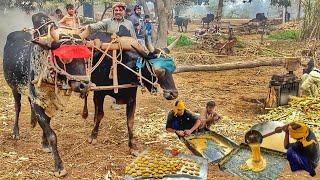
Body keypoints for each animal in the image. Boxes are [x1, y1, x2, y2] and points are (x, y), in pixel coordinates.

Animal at [3, 13, 89, 177]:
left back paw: (32, 122)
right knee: (17, 107)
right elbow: (52, 135)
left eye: (86, 57)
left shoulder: (48, 102)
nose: (84, 85)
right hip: (15, 88)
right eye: (64, 57)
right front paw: (59, 166)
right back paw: (16, 132)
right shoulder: (38, 102)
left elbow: (47, 124)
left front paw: (44, 143)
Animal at [81, 27, 179, 155]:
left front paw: (132, 145)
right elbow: (100, 115)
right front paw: (93, 135)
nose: (173, 94)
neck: (122, 68)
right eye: (157, 70)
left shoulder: (131, 98)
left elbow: (130, 121)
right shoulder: (100, 93)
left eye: (173, 68)